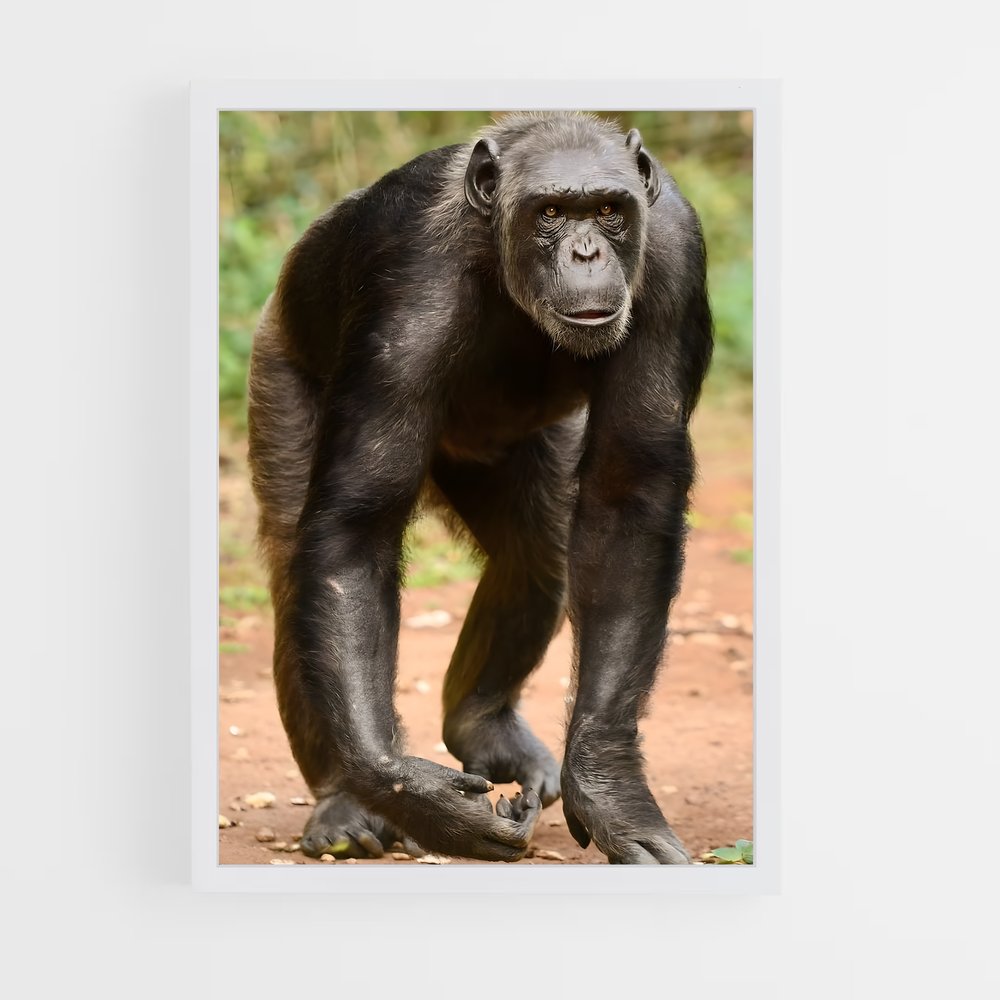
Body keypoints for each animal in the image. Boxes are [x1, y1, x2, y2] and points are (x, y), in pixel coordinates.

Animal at [247, 112, 713, 864]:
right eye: (551, 213)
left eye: (608, 212)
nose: (587, 252)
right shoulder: (405, 283)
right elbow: (358, 525)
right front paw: (416, 796)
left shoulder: (674, 258)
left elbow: (627, 496)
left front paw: (611, 792)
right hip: (277, 361)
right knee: (300, 569)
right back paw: (344, 802)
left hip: (517, 453)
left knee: (538, 553)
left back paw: (481, 726)